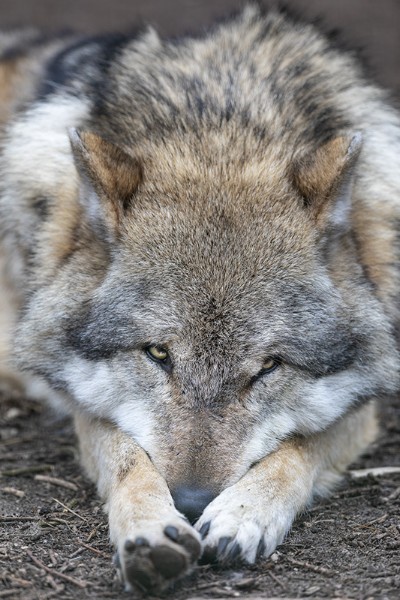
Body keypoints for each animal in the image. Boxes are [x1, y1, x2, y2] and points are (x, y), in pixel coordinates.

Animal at [0, 4, 400, 592]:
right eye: (157, 353)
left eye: (269, 367)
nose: (189, 502)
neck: (223, 122)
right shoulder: (77, 395)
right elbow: (125, 454)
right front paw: (150, 529)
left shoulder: (362, 404)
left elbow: (298, 445)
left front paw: (244, 514)